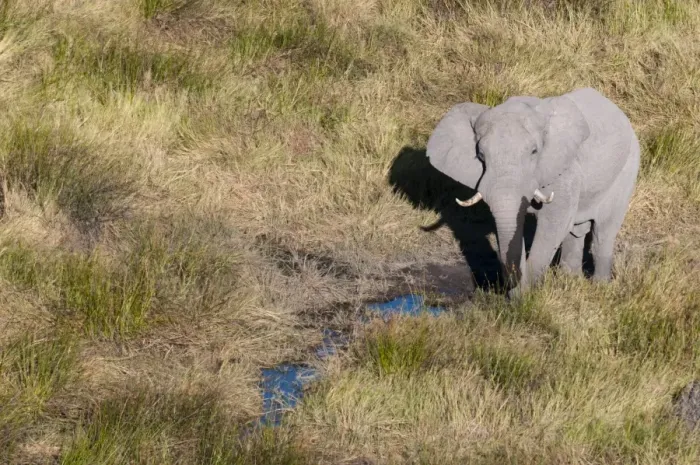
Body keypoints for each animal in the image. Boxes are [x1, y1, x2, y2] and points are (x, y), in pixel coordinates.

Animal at [426, 87, 640, 297]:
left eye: (534, 152)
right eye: (480, 156)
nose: (508, 285)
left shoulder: (565, 170)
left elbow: (554, 224)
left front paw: (525, 297)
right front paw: (517, 297)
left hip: (628, 168)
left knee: (603, 232)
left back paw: (600, 288)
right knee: (576, 231)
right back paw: (571, 282)